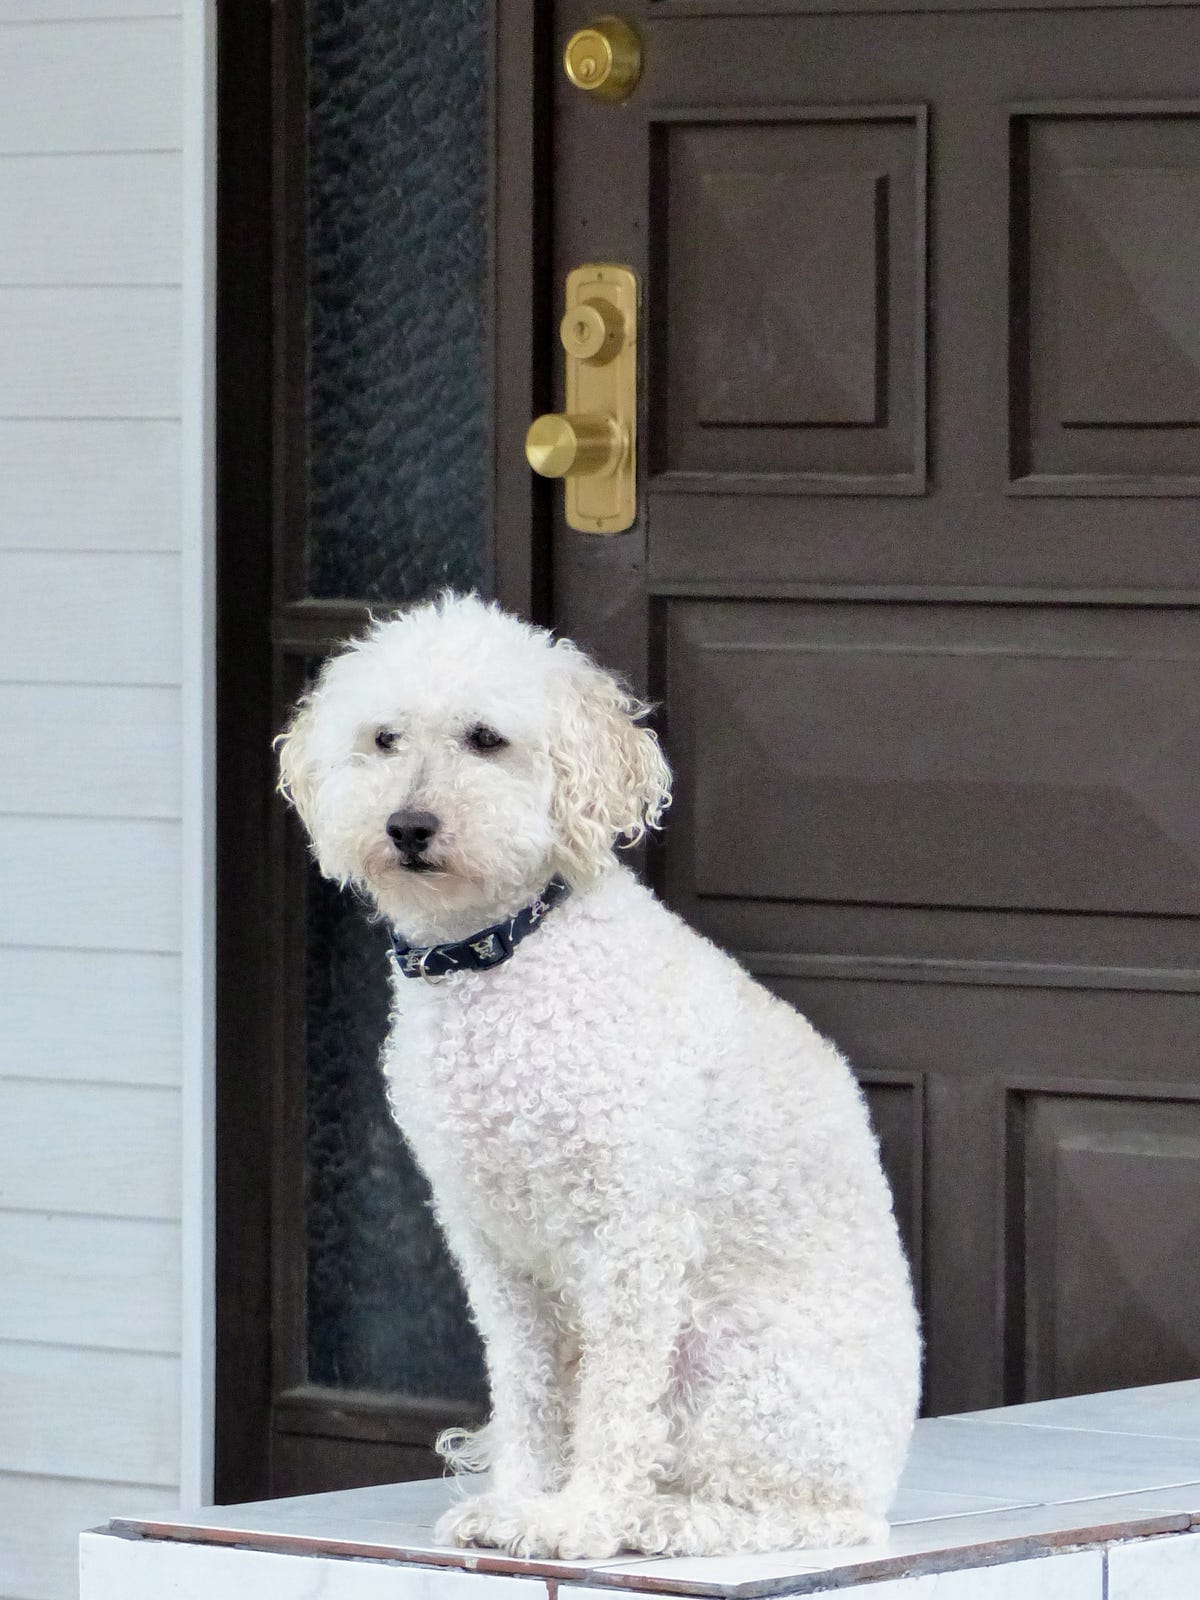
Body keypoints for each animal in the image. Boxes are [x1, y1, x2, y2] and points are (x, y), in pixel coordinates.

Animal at [280, 592, 921, 1561]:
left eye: (486, 739)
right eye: (385, 738)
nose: (408, 826)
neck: (501, 960)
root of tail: (889, 1461)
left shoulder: (631, 1232)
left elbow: (619, 1403)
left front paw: (579, 1522)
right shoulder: (490, 1239)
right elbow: (530, 1388)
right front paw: (518, 1502)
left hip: (733, 1354)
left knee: (816, 1515)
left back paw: (665, 1519)